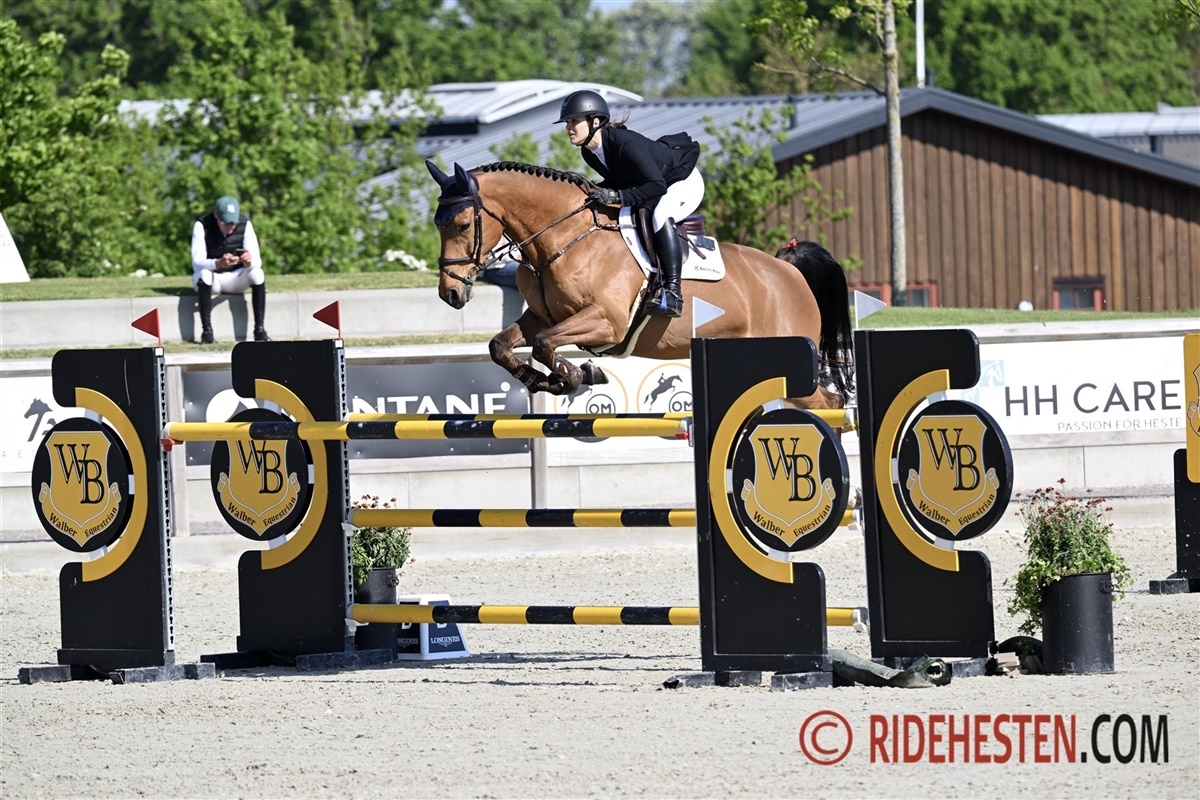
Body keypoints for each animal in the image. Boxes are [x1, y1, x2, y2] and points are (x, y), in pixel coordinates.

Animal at [426, 160, 854, 409]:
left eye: (461, 225)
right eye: (437, 224)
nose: (450, 293)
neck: (566, 235)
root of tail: (789, 272)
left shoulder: (606, 322)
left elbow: (547, 345)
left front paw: (579, 376)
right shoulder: (544, 316)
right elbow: (501, 346)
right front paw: (540, 379)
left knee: (830, 403)